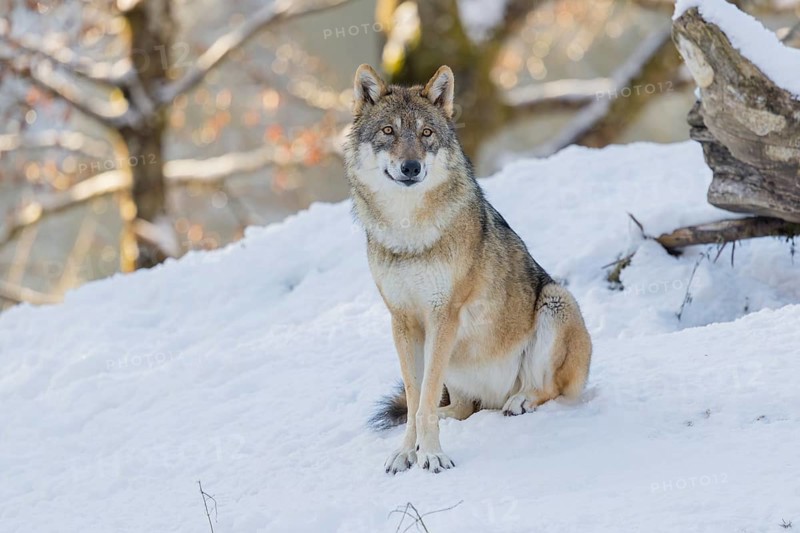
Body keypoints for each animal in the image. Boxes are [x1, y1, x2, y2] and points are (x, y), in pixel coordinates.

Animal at [344, 64, 592, 474]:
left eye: (426, 133)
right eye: (389, 131)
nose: (411, 167)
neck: (408, 232)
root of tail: (494, 398)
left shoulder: (443, 314)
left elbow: (424, 398)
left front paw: (431, 455)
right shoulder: (402, 320)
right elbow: (416, 399)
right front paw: (406, 452)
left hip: (556, 300)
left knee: (549, 391)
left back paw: (520, 401)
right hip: (455, 362)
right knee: (459, 408)